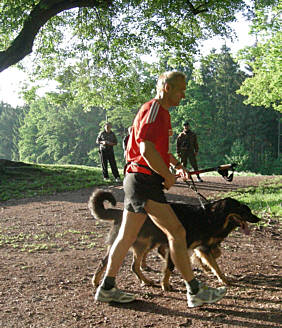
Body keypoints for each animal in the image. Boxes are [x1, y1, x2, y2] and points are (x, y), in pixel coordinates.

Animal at [88, 188, 260, 290]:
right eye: (243, 210)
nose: (258, 219)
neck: (210, 217)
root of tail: (119, 213)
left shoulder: (203, 247)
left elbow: (214, 262)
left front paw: (218, 276)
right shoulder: (181, 245)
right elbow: (170, 267)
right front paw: (165, 285)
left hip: (138, 244)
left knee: (107, 262)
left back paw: (96, 281)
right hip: (141, 243)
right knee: (133, 266)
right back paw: (145, 280)